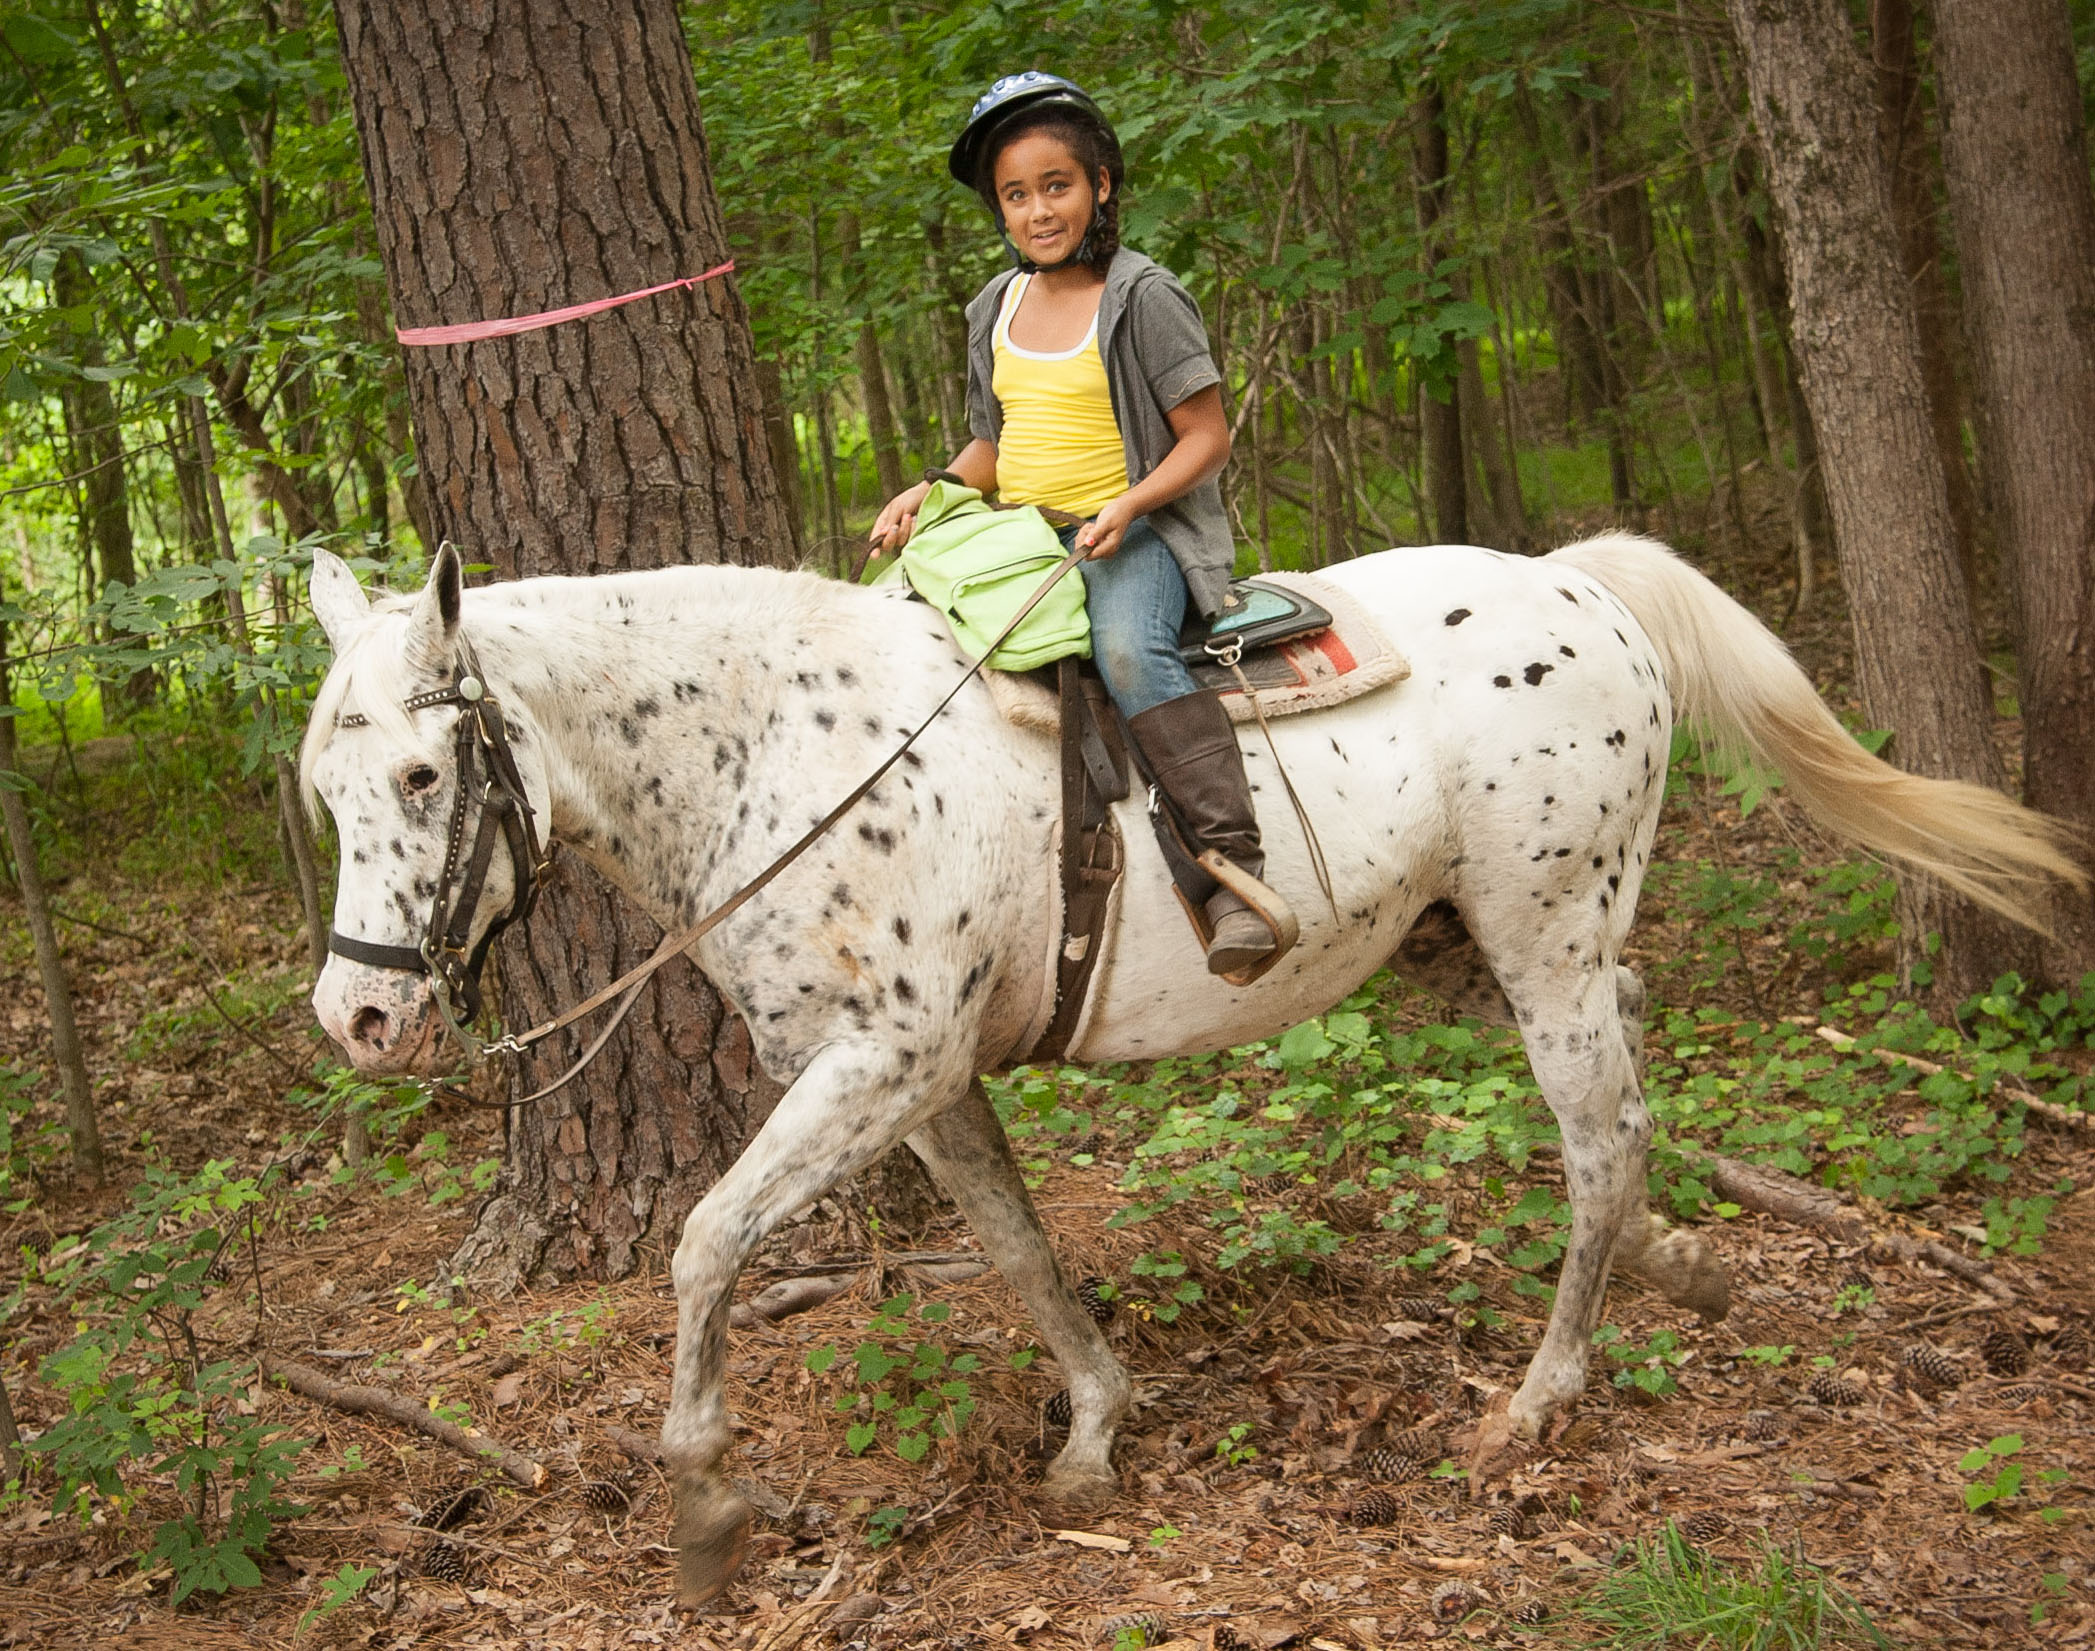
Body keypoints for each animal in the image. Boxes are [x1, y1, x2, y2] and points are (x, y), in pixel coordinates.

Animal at [299, 540, 2078, 1600]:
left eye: (422, 771)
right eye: (324, 786)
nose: (358, 1019)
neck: (788, 752)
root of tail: (1576, 582)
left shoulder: (872, 1067)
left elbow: (703, 1240)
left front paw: (702, 1507)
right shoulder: (925, 1085)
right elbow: (1015, 1246)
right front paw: (1094, 1426)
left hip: (1541, 934)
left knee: (1597, 1131)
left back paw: (1535, 1399)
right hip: (1515, 936)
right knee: (1632, 1092)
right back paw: (1675, 1266)